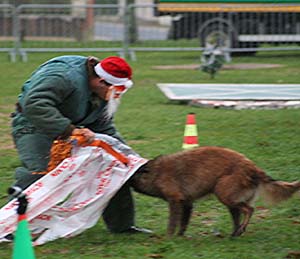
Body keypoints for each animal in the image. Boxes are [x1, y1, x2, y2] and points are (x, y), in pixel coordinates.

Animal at [129, 146, 300, 238]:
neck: (154, 173)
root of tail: (254, 169)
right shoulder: (187, 203)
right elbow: (183, 223)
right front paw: (180, 237)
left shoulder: (175, 201)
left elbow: (172, 222)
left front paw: (169, 237)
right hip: (231, 201)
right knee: (239, 215)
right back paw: (235, 233)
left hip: (223, 193)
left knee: (249, 209)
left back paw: (241, 229)